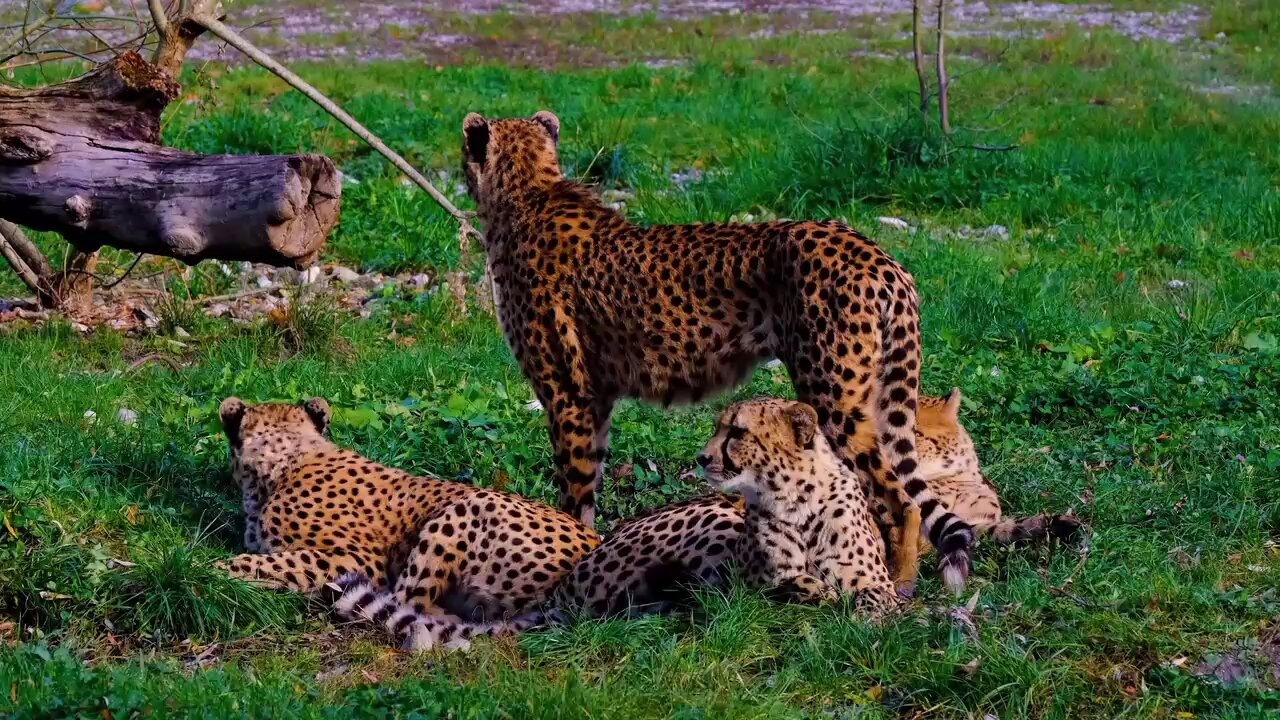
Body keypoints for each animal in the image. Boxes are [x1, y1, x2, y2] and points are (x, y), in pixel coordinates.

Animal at [215, 396, 600, 652]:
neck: (287, 455)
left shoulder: (358, 560)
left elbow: (262, 562)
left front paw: (213, 572)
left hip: (469, 507)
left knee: (409, 609)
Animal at [461, 109, 976, 588]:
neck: (527, 190)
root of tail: (876, 253)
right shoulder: (598, 397)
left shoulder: (568, 396)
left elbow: (576, 487)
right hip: (875, 391)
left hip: (835, 395)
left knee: (900, 499)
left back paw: (897, 583)